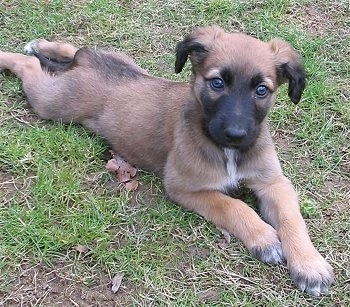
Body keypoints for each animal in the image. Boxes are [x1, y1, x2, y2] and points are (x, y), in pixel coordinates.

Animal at [0, 25, 334, 294]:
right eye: (217, 83)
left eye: (262, 90)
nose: (236, 134)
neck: (225, 150)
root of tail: (89, 65)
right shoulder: (184, 187)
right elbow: (233, 205)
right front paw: (264, 237)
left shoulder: (273, 182)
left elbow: (292, 220)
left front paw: (310, 264)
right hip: (53, 101)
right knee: (30, 66)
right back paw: (15, 56)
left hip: (122, 62)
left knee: (76, 49)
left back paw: (43, 45)